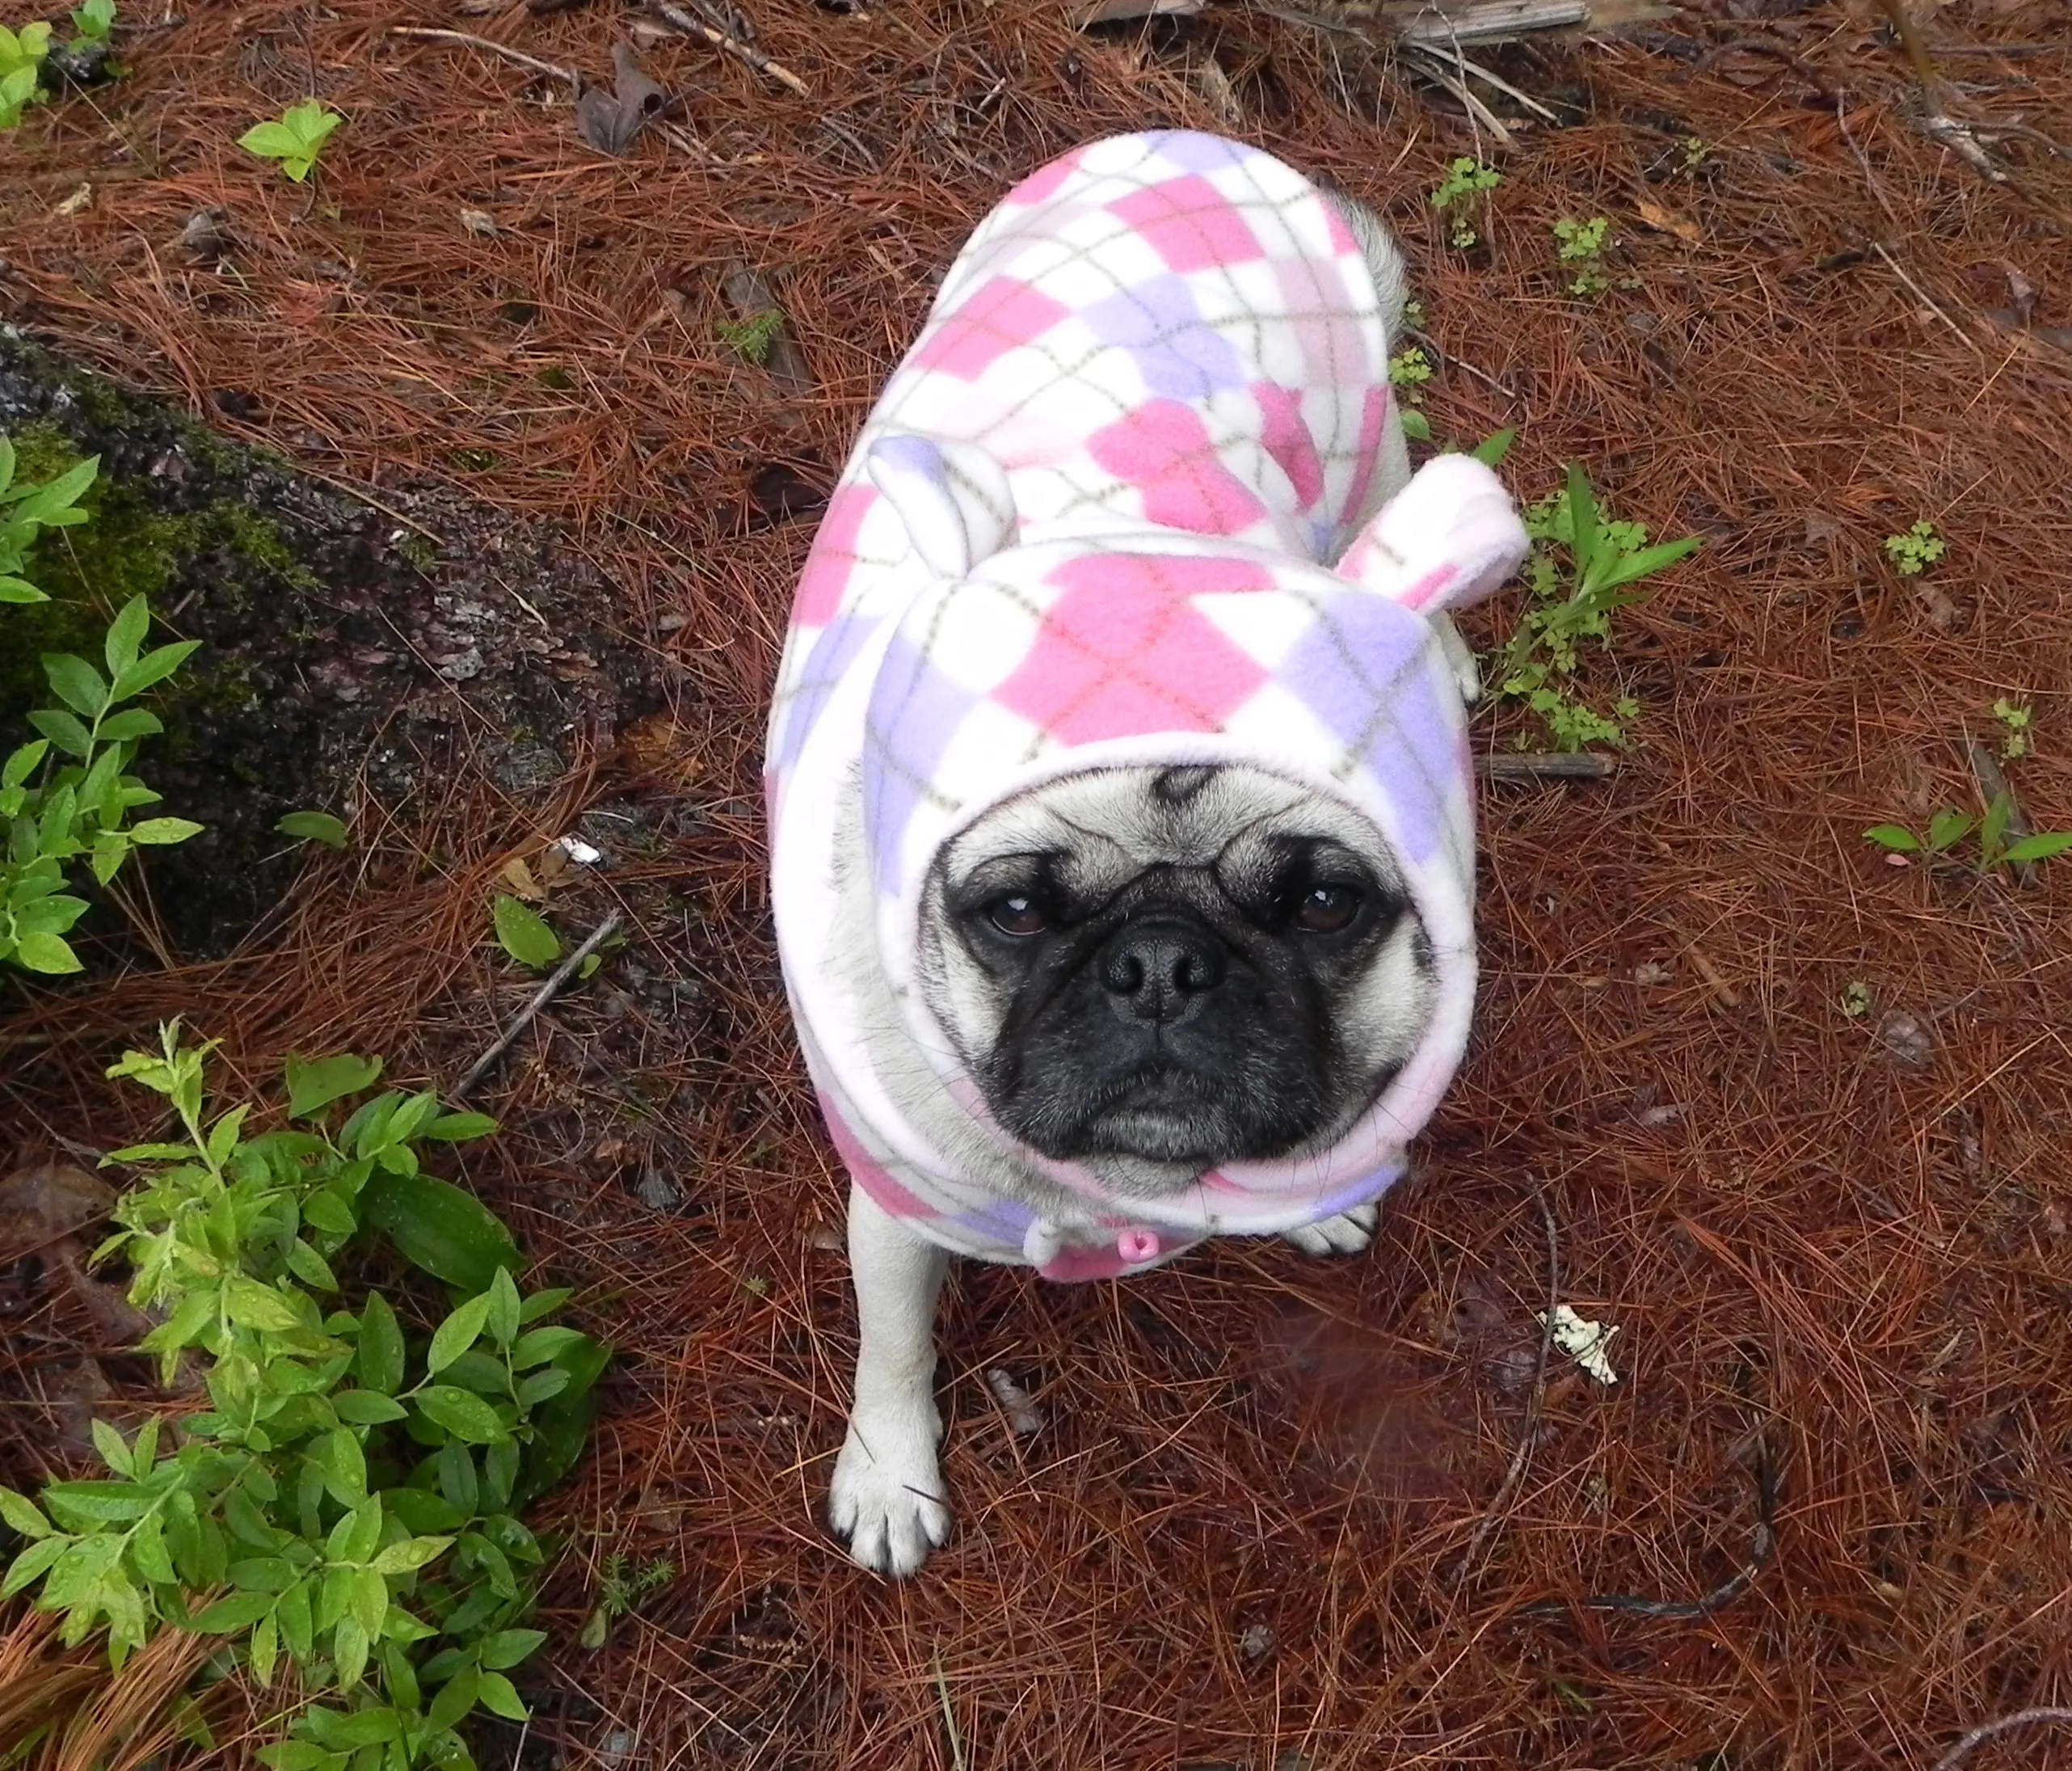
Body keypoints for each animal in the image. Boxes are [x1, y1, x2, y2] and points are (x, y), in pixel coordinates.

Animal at [770, 128, 1533, 1582]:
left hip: (1371, 438)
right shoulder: (892, 1211)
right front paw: (889, 1471)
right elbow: (893, 1346)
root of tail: (1189, 137)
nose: (1163, 965)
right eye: (1012, 910)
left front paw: (1310, 1197)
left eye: (1322, 902)